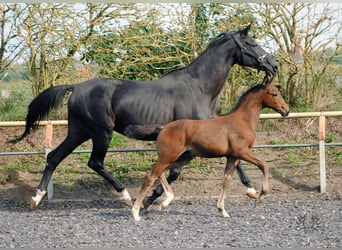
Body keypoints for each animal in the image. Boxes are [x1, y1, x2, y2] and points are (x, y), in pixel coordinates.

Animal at [15, 24, 278, 209]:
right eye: (252, 43)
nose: (274, 64)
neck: (200, 88)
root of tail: (76, 87)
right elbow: (173, 172)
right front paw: (152, 201)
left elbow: (234, 160)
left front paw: (250, 189)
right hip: (101, 132)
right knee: (95, 162)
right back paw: (125, 196)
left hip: (79, 131)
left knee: (54, 158)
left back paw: (36, 198)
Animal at [132, 77, 290, 221]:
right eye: (274, 93)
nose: (286, 110)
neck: (242, 121)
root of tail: (163, 128)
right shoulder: (242, 152)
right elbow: (264, 166)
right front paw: (260, 197)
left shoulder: (232, 157)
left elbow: (227, 180)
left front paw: (223, 210)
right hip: (168, 156)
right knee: (150, 176)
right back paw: (136, 213)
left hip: (184, 157)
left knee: (160, 173)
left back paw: (163, 202)